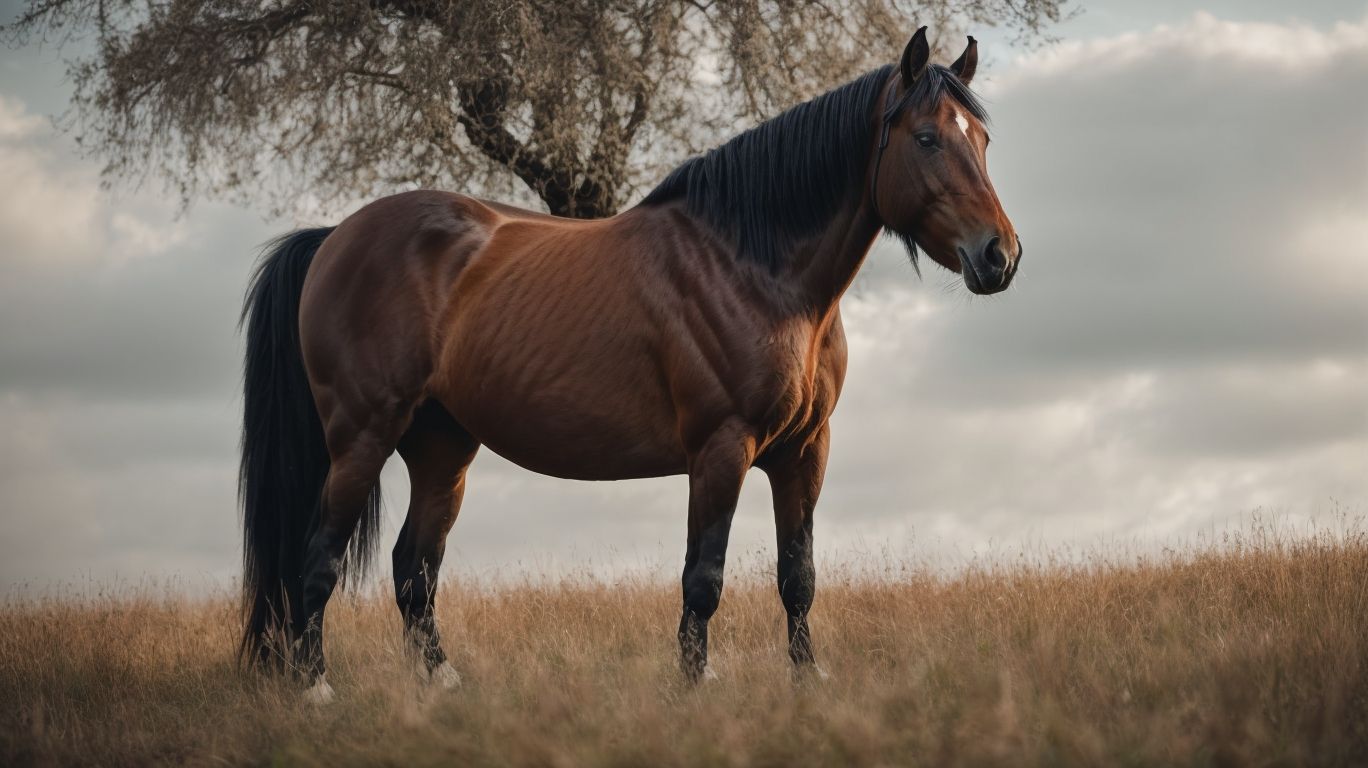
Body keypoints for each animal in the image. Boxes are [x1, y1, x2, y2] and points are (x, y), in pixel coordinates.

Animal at [238, 26, 1020, 702]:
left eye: (982, 138)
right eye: (926, 137)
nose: (999, 256)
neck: (751, 266)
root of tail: (335, 236)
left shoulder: (805, 451)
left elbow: (798, 576)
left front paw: (807, 683)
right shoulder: (721, 449)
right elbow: (703, 578)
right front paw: (695, 687)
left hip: (441, 447)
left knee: (413, 569)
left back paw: (443, 684)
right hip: (362, 438)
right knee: (317, 562)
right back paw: (316, 689)